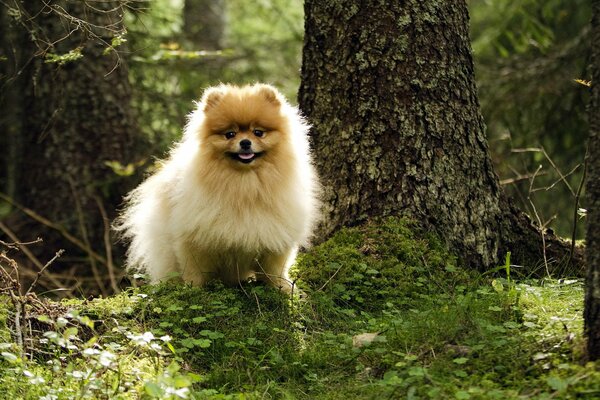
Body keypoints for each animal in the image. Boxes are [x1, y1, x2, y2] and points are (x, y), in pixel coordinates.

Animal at [116, 84, 318, 290]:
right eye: (230, 134)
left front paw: (282, 287)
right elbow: (195, 270)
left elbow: (275, 268)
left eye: (258, 132)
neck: (243, 183)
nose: (245, 142)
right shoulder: (195, 237)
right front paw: (194, 289)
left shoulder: (276, 233)